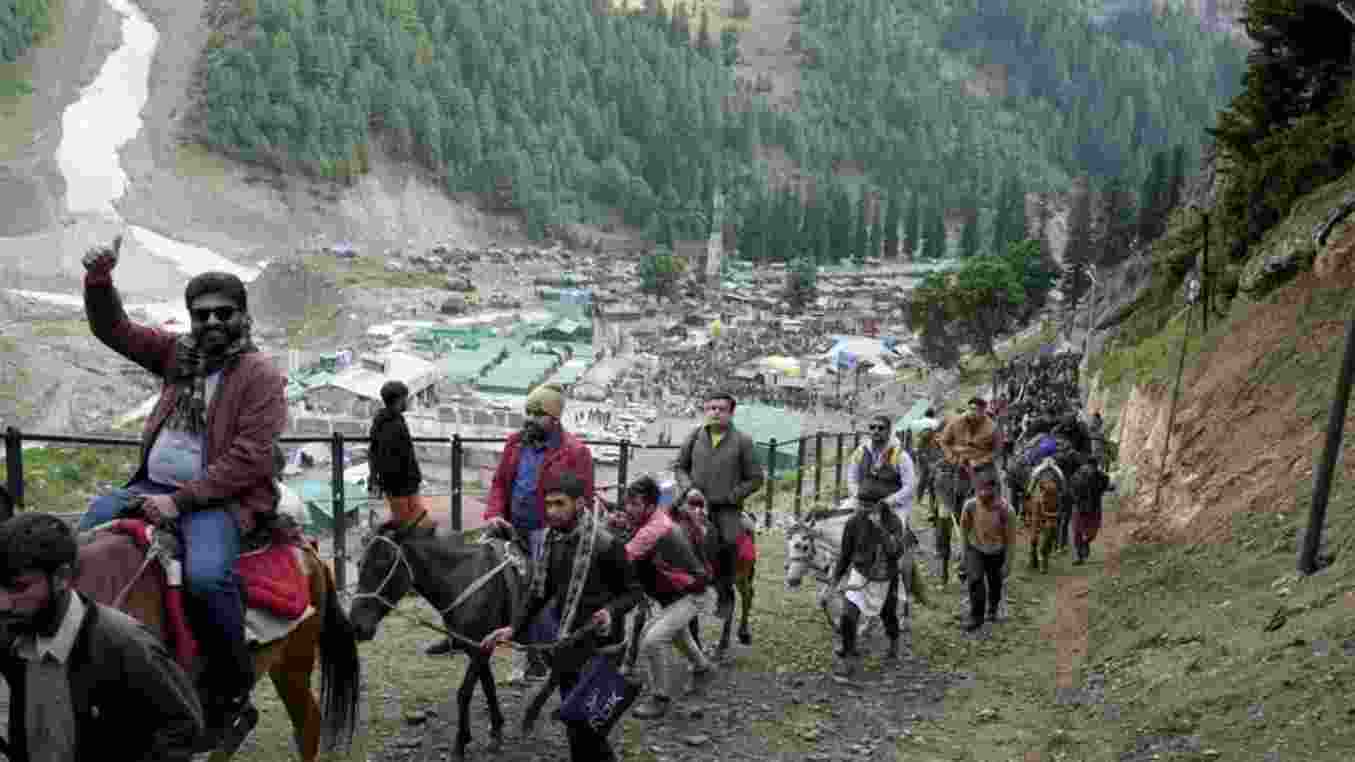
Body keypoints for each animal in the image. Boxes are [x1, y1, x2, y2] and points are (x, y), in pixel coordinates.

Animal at [346, 512, 520, 753]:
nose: (356, 625)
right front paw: (496, 729)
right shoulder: (479, 647)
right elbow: (488, 685)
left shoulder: (479, 649)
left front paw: (461, 742)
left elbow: (464, 693)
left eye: (384, 563)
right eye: (360, 563)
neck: (463, 579)